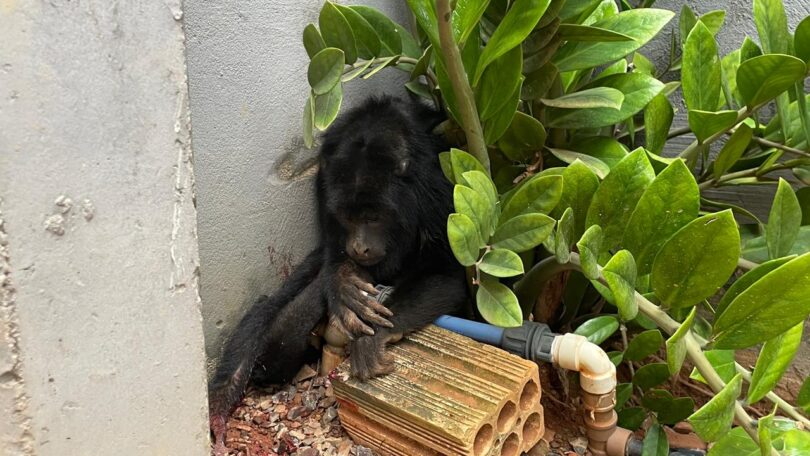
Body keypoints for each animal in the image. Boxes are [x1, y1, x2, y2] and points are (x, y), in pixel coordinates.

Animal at [207, 96, 470, 447]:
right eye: (348, 216)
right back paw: (221, 400)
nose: (358, 247)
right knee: (271, 312)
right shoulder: (324, 181)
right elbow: (330, 248)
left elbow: (447, 274)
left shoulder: (435, 184)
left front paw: (375, 336)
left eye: (373, 217)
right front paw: (342, 282)